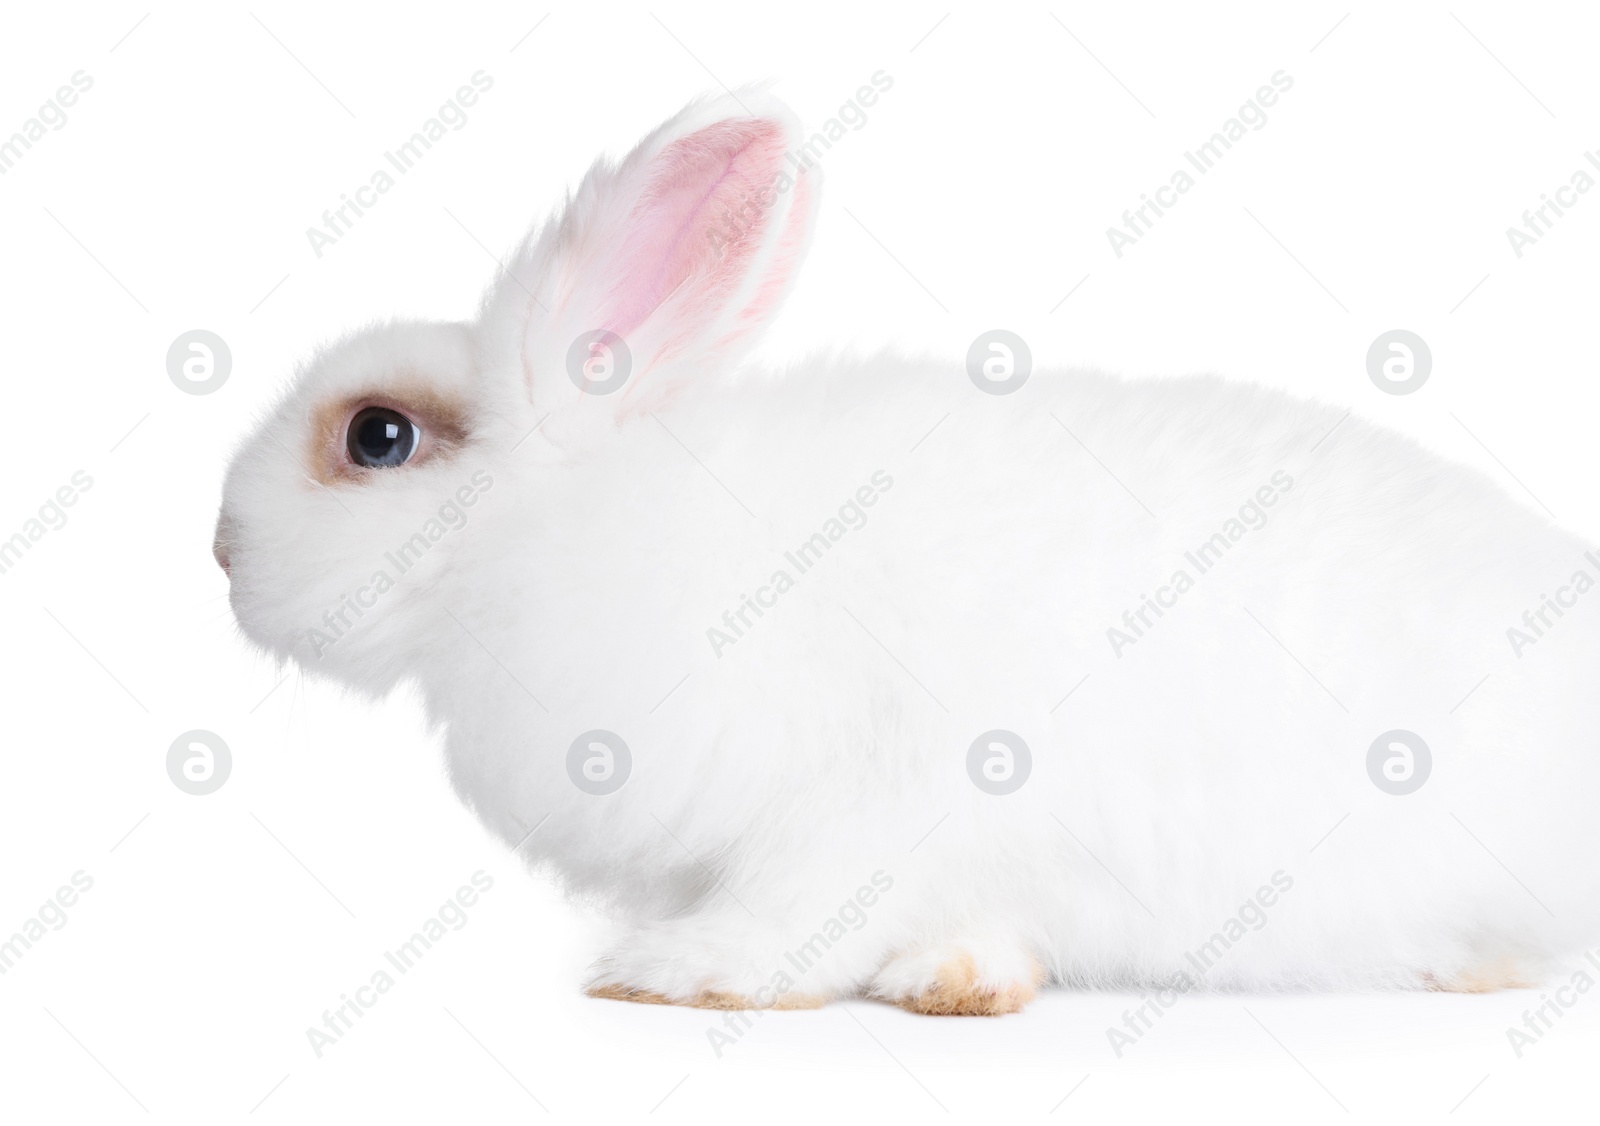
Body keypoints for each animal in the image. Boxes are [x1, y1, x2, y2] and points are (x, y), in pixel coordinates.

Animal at [219, 92, 1600, 1017]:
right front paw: (962, 979)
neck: (552, 529)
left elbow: (804, 910)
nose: (219, 546)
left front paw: (676, 974)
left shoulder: (850, 801)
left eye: (377, 436)